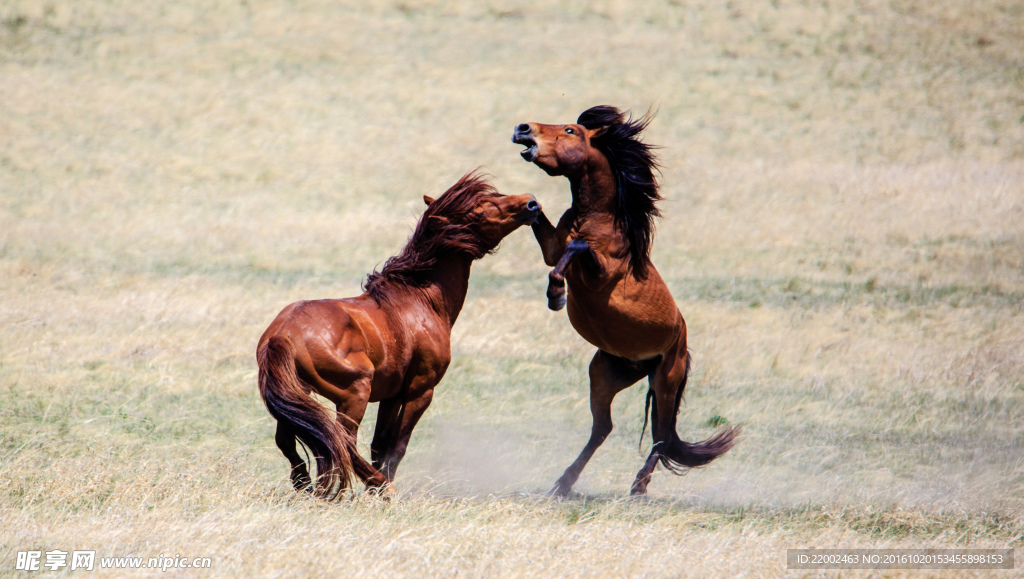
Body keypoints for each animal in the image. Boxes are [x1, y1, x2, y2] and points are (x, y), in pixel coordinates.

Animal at [260, 171, 540, 495]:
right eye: (479, 211)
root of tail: (281, 336)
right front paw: (383, 487)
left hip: (300, 394)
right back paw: (377, 488)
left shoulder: (391, 395)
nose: (531, 202)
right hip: (355, 393)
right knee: (341, 441)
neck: (420, 299)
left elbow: (380, 445)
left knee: (294, 440)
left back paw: (309, 485)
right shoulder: (420, 391)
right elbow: (398, 446)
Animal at [509, 106, 737, 493]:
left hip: (665, 380)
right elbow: (547, 228)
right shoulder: (552, 247)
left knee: (661, 436)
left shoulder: (599, 270)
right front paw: (524, 205)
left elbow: (575, 247)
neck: (597, 218)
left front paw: (556, 295)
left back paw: (639, 487)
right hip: (604, 375)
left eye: (570, 131)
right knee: (603, 429)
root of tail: (682, 344)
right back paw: (563, 484)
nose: (522, 128)